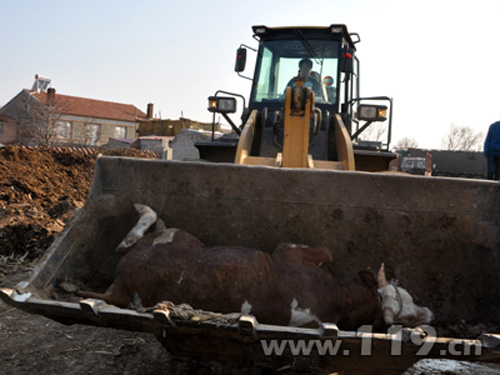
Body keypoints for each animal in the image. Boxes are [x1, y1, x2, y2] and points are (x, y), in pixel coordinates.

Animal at [78, 206, 434, 332]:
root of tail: (119, 284)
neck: (334, 297)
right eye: (405, 313)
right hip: (181, 237)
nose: (430, 313)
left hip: (174, 241)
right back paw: (146, 211)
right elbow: (328, 250)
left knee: (132, 240)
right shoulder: (289, 251)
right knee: (133, 236)